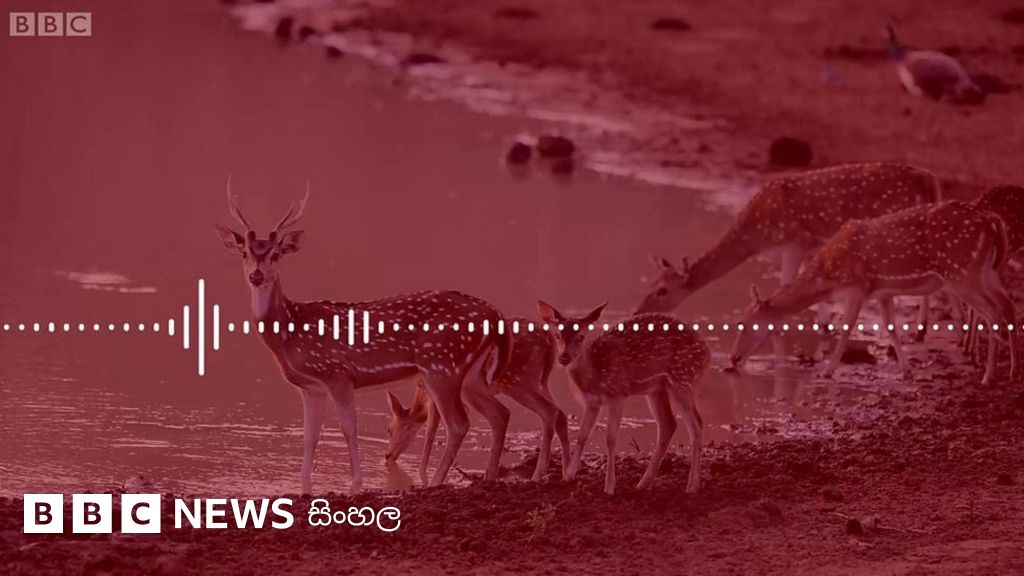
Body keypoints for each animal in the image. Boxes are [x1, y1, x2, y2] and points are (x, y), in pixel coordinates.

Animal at [215, 180, 513, 493]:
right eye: (245, 253)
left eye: (275, 254)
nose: (256, 276)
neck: (290, 333)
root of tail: (495, 314)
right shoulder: (311, 387)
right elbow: (310, 436)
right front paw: (304, 486)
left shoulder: (337, 372)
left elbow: (348, 428)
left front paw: (355, 484)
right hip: (471, 374)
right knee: (500, 414)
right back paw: (489, 477)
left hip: (441, 365)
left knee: (459, 423)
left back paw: (435, 483)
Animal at [384, 318, 571, 484]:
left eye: (389, 429)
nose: (387, 455)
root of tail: (549, 341)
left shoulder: (435, 395)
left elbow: (431, 430)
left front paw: (423, 474)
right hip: (540, 381)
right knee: (561, 414)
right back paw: (566, 471)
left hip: (518, 380)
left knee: (549, 411)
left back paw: (538, 474)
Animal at [536, 302, 711, 495]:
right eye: (557, 335)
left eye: (581, 337)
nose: (563, 358)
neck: (595, 375)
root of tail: (707, 353)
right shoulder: (592, 402)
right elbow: (582, 435)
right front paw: (568, 476)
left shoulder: (618, 395)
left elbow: (611, 439)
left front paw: (609, 486)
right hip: (657, 389)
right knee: (669, 424)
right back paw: (643, 483)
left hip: (683, 380)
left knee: (696, 425)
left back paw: (692, 485)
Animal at [636, 162, 942, 344]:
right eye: (650, 284)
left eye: (663, 291)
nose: (639, 312)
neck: (756, 236)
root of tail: (929, 179)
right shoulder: (811, 246)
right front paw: (825, 329)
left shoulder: (794, 242)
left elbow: (784, 284)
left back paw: (920, 331)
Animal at [729, 201, 1019, 385]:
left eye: (746, 323)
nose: (733, 358)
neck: (827, 277)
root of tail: (992, 221)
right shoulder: (882, 292)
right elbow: (891, 328)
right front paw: (907, 372)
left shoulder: (857, 287)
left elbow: (846, 328)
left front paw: (827, 371)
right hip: (988, 271)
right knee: (1008, 306)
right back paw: (1011, 374)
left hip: (963, 272)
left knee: (993, 313)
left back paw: (988, 376)